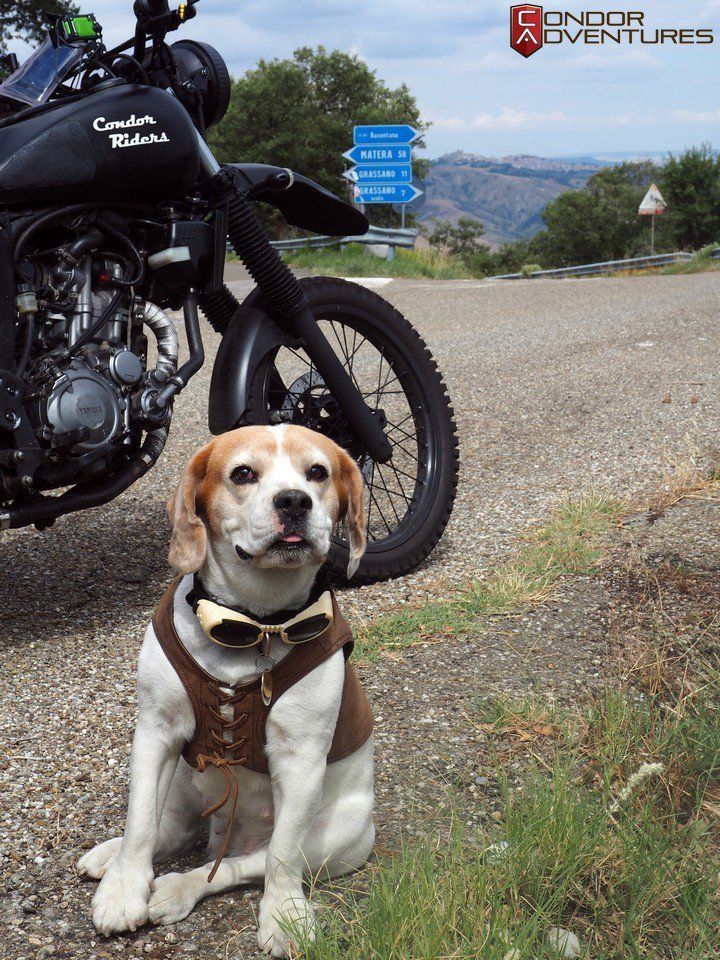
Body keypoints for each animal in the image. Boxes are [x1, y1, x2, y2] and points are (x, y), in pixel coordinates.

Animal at [76, 428, 374, 960]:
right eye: (243, 473)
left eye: (318, 472)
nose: (294, 500)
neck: (251, 623)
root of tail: (231, 835)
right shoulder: (156, 733)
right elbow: (139, 825)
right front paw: (123, 889)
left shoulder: (301, 760)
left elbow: (280, 859)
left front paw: (284, 915)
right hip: (180, 781)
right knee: (167, 831)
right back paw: (112, 858)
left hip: (335, 838)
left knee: (241, 865)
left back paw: (178, 888)